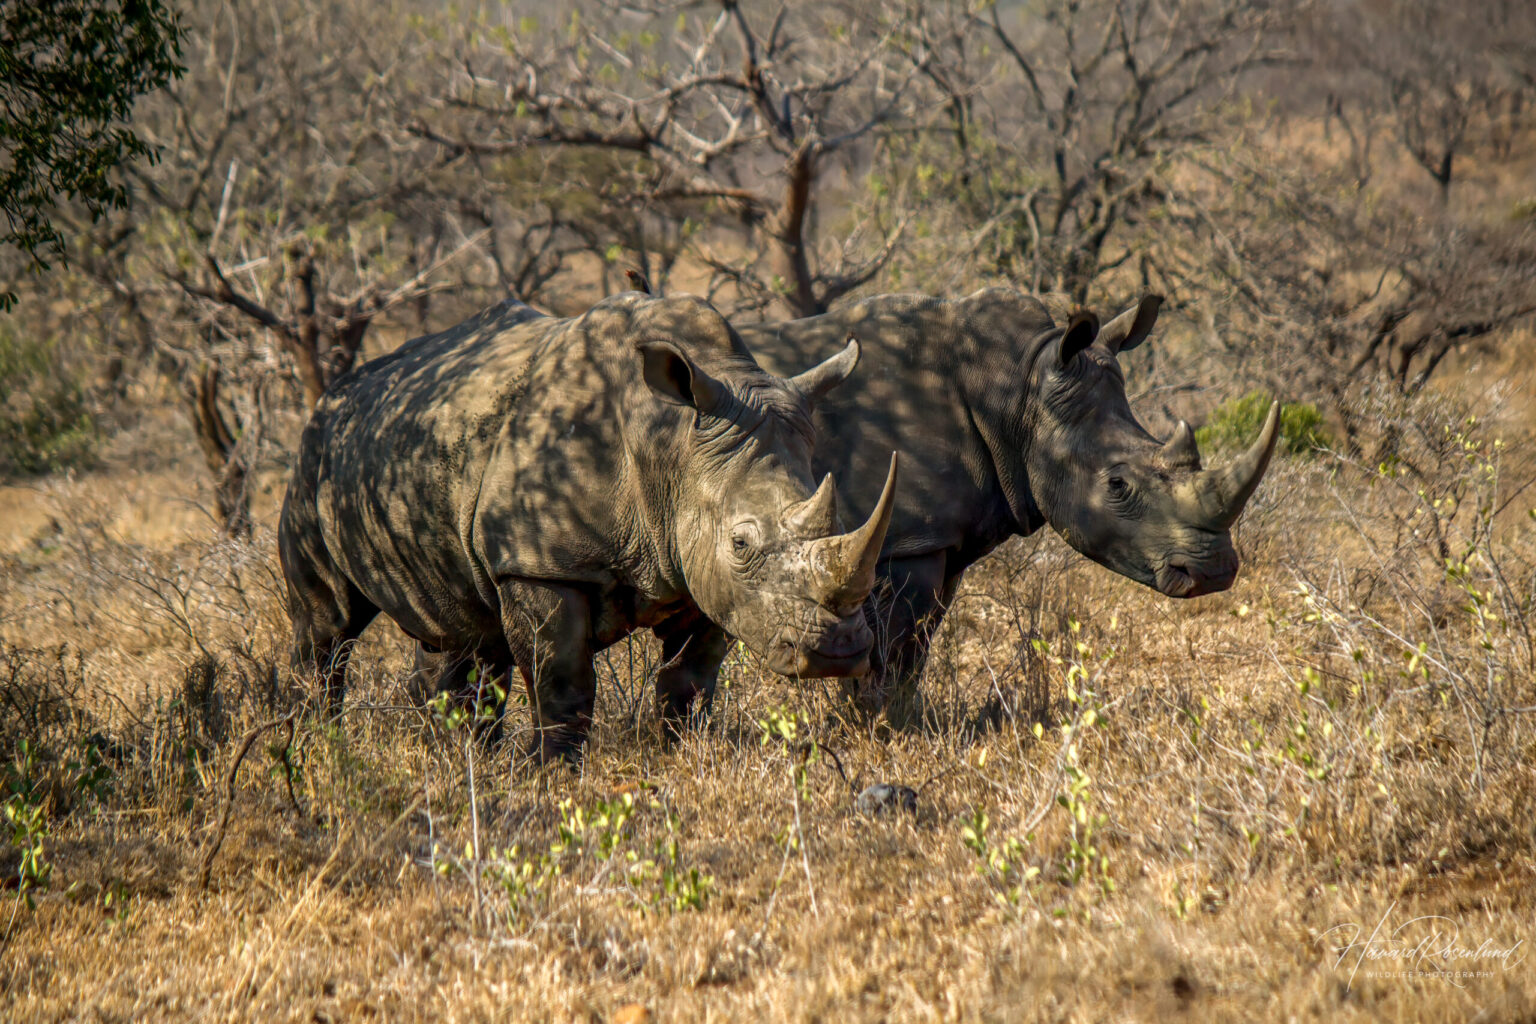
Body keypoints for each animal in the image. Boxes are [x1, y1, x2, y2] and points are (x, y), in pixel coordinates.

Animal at [278, 292, 899, 758]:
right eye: (741, 542)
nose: (840, 651)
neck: (671, 446)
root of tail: (334, 395)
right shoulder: (538, 565)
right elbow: (563, 683)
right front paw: (554, 774)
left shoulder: (700, 572)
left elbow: (688, 682)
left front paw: (681, 753)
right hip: (313, 458)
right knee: (328, 626)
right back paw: (317, 746)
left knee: (455, 631)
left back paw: (456, 758)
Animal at [704, 288, 1277, 726]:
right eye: (1117, 484)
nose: (1214, 571)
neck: (1016, 390)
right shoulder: (900, 543)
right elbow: (886, 652)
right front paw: (873, 731)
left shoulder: (937, 544)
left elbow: (914, 652)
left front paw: (899, 724)